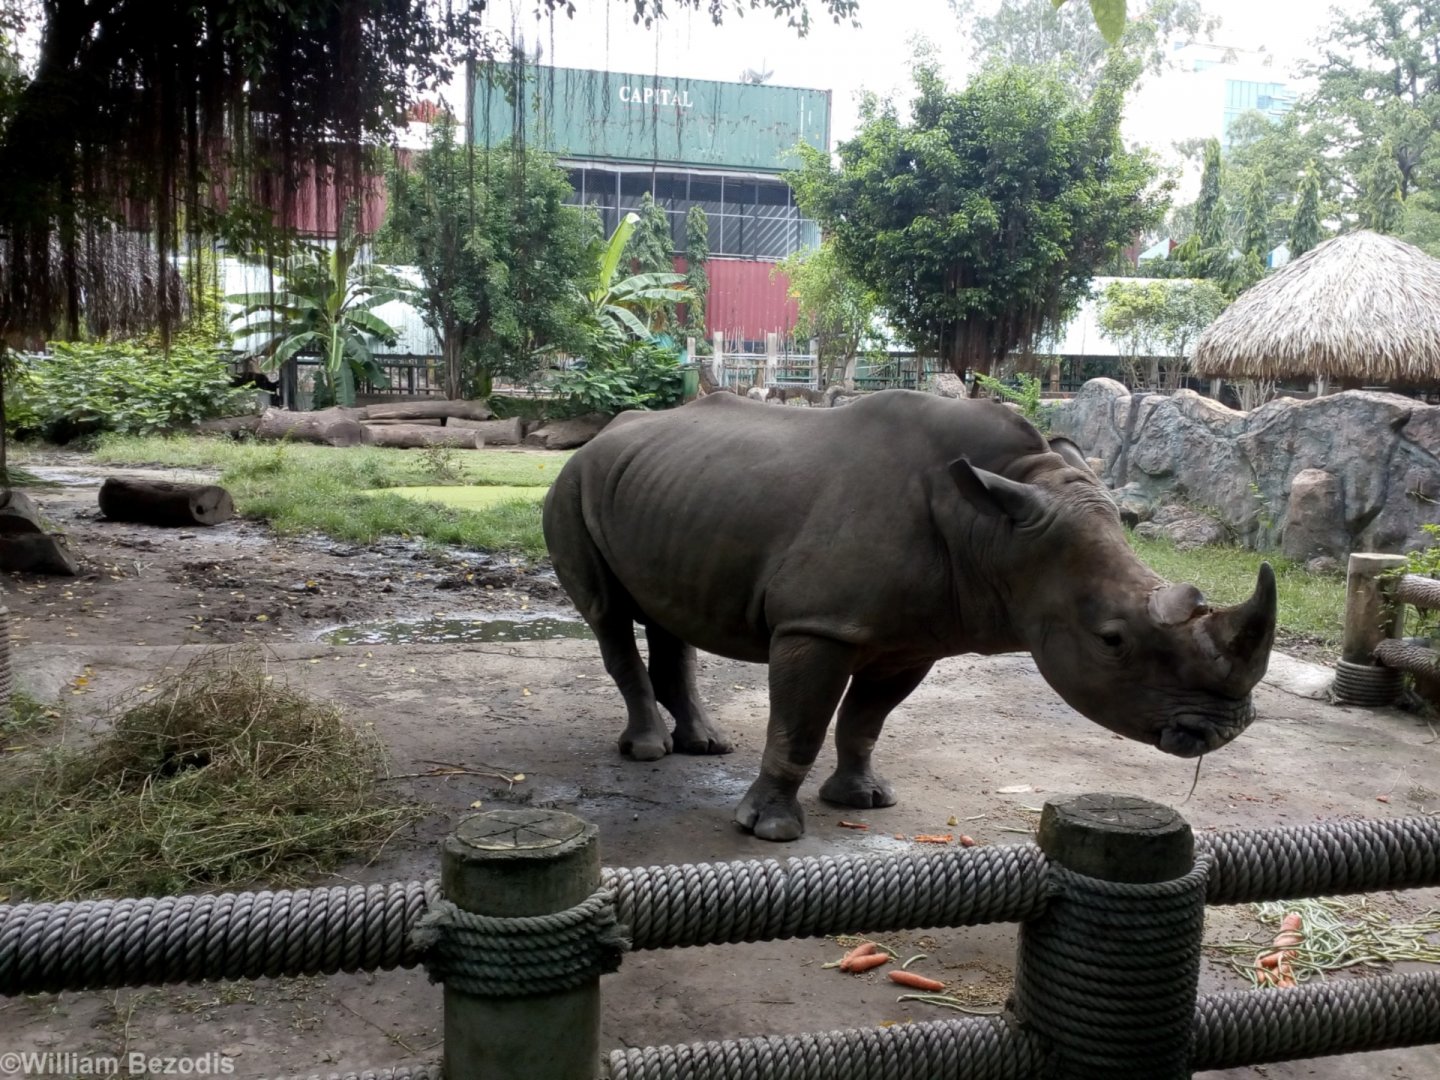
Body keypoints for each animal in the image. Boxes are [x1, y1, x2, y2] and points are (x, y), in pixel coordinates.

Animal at [542, 390, 1276, 841]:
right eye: (1111, 640)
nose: (1225, 729)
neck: (999, 528)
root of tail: (599, 436)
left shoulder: (912, 639)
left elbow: (866, 720)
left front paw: (863, 801)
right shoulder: (819, 623)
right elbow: (799, 725)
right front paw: (770, 831)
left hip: (663, 492)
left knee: (667, 615)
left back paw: (705, 744)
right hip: (572, 485)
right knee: (608, 614)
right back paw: (648, 751)